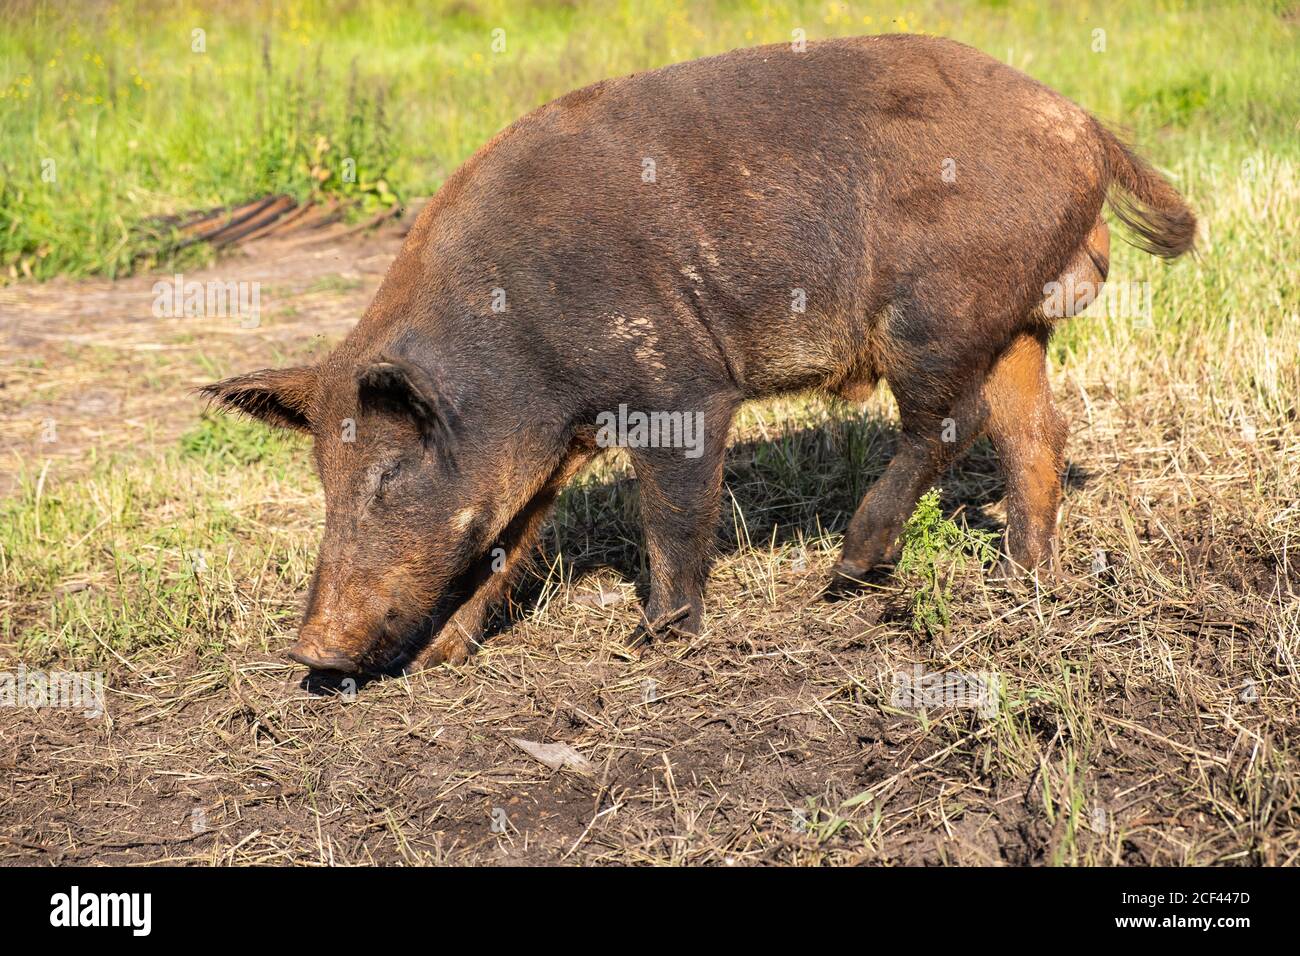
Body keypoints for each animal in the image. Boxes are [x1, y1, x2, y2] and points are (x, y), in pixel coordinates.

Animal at [197, 35, 1190, 671]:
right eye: (324, 475)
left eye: (391, 474)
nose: (311, 651)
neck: (518, 349)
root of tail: (1085, 124)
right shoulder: (546, 451)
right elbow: (503, 544)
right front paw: (437, 661)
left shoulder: (681, 385)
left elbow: (671, 513)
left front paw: (652, 639)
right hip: (1017, 322)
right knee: (1037, 435)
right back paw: (1026, 578)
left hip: (937, 311)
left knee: (956, 419)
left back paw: (848, 574)